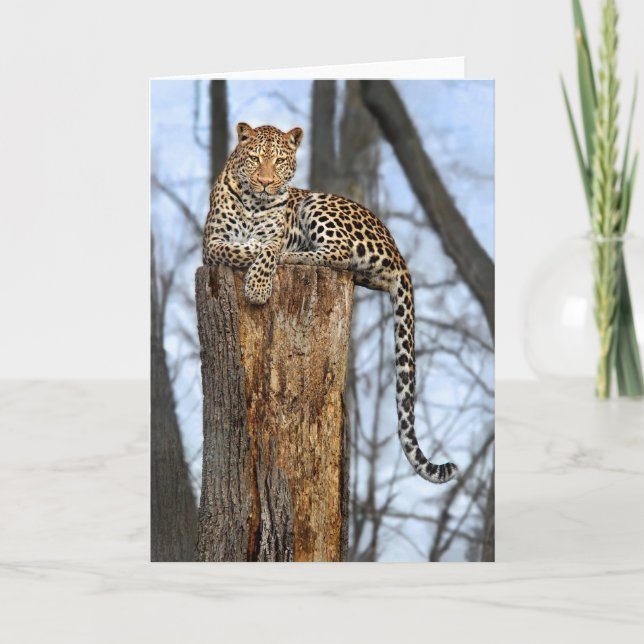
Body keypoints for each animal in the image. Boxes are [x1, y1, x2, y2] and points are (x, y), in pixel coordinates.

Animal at [203, 122, 458, 484]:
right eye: (254, 159)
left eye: (279, 160)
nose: (265, 182)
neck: (254, 202)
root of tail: (398, 252)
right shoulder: (211, 245)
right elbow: (237, 248)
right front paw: (256, 271)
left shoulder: (271, 235)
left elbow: (267, 248)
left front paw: (258, 285)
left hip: (318, 203)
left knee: (338, 253)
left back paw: (295, 254)